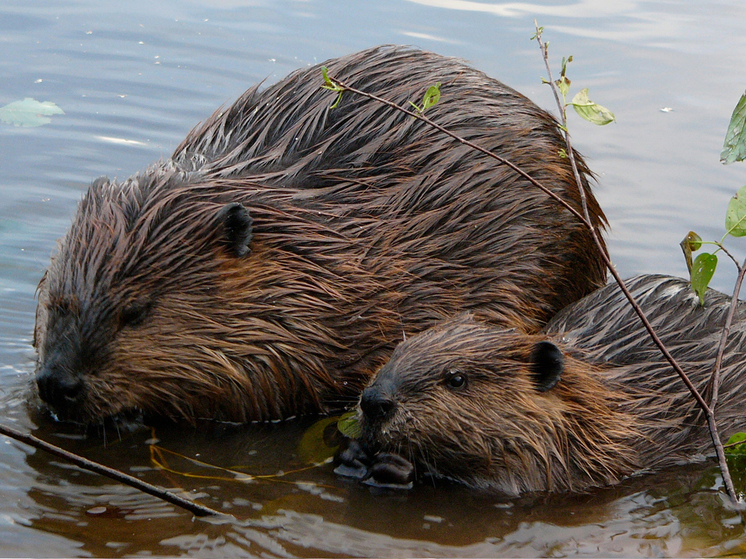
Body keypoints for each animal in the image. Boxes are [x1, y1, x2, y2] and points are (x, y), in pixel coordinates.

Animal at [350, 276, 746, 494]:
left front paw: (396, 467)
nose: (374, 400)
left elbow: (523, 481)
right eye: (396, 351)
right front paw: (353, 453)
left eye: (456, 378)